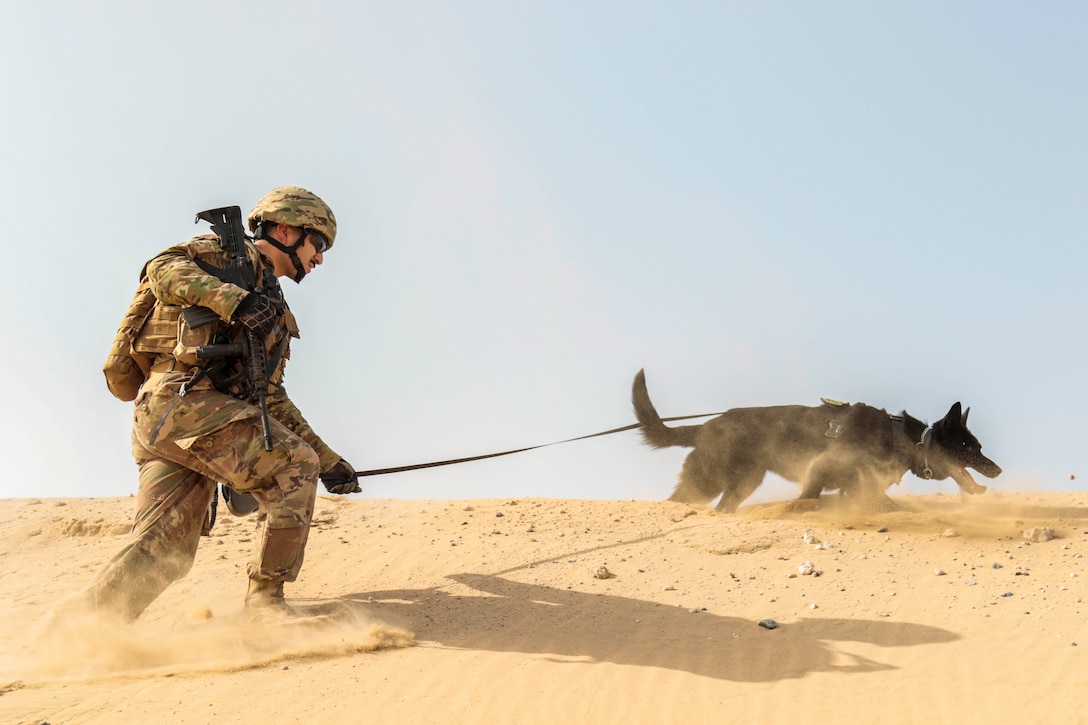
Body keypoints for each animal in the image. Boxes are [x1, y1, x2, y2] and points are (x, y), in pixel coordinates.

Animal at [631, 367, 1000, 513]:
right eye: (967, 447)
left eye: (978, 446)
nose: (996, 470)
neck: (905, 440)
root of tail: (706, 425)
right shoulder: (819, 473)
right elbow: (807, 499)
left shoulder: (861, 491)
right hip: (709, 481)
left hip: (742, 483)